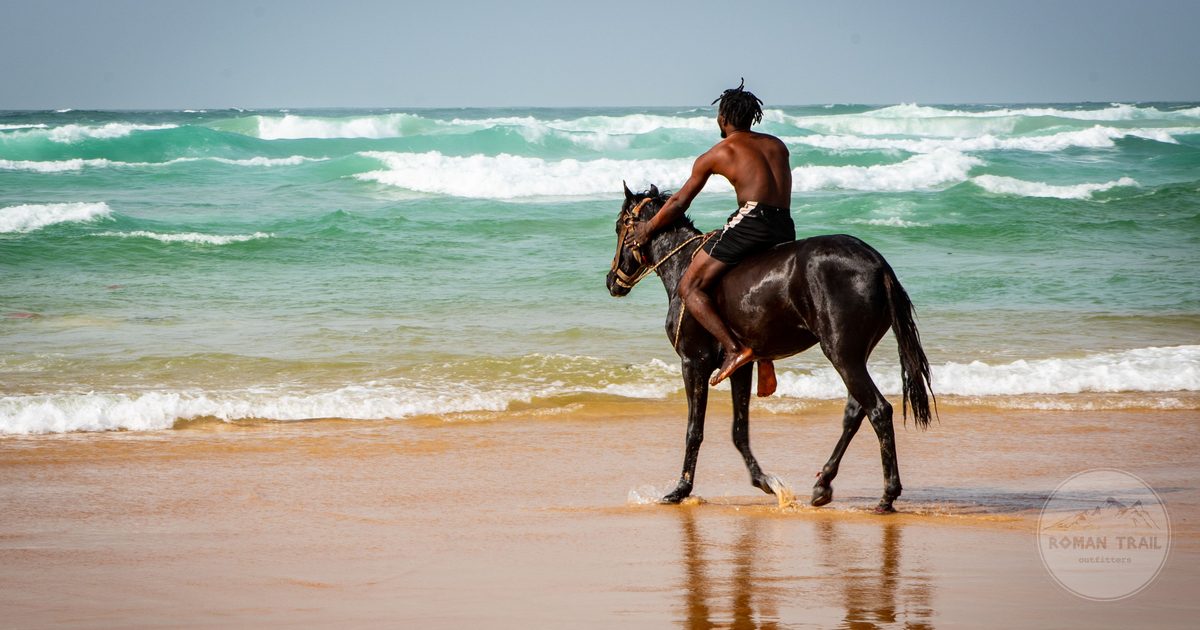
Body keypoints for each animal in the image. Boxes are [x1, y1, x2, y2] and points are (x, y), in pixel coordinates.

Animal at [606, 184, 935, 513]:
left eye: (620, 226)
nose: (611, 280)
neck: (683, 264)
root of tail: (877, 263)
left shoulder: (693, 362)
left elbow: (694, 430)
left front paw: (680, 489)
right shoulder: (740, 367)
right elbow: (739, 431)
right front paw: (765, 482)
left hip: (841, 353)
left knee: (878, 410)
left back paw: (887, 494)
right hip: (854, 355)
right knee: (856, 412)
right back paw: (824, 482)